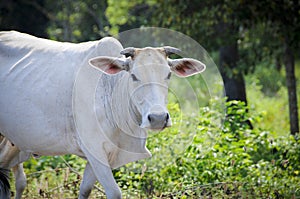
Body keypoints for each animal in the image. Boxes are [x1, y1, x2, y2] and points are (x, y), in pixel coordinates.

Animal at [0, 30, 206, 198]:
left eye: (168, 75)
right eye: (134, 76)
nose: (157, 118)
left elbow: (85, 190)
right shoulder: (95, 150)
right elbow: (114, 192)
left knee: (16, 180)